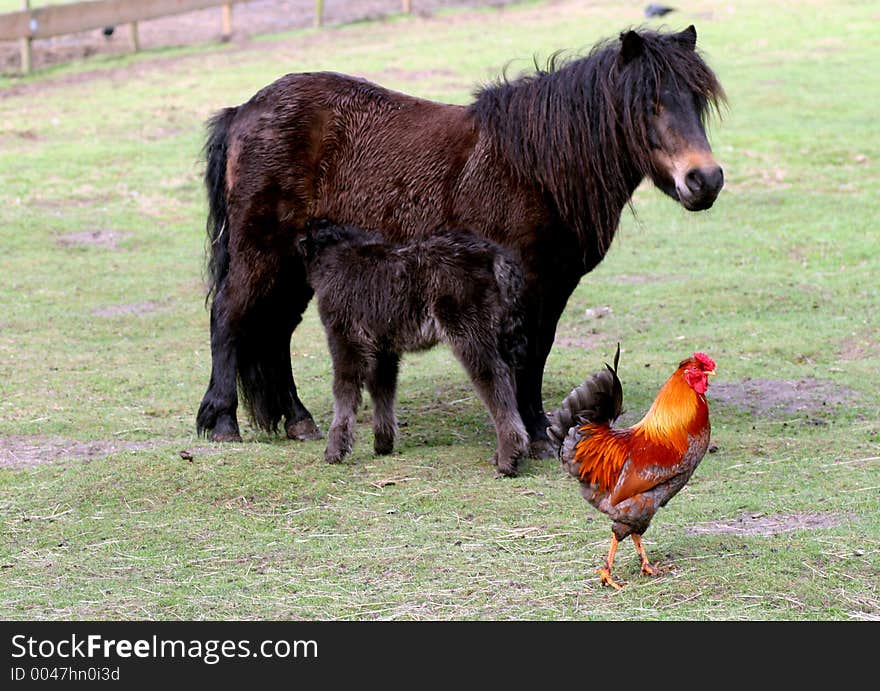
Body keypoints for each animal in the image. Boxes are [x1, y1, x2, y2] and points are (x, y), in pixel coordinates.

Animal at [196, 25, 724, 460]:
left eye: (697, 101)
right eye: (649, 104)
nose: (705, 180)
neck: (534, 166)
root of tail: (243, 112)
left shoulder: (555, 284)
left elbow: (539, 351)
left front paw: (536, 428)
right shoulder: (527, 282)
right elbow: (524, 354)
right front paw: (533, 433)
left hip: (296, 265)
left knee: (275, 331)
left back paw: (297, 420)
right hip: (260, 253)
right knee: (229, 316)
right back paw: (222, 423)